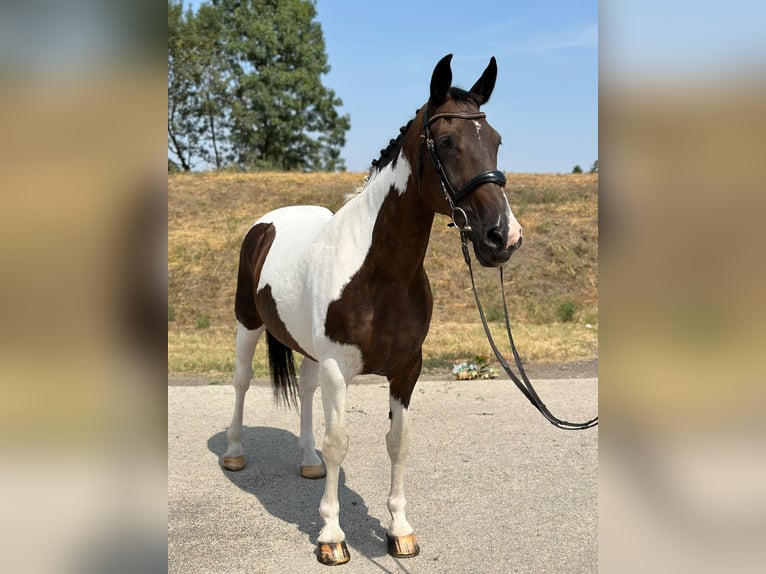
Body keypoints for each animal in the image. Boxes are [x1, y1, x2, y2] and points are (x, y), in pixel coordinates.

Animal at [219, 54, 524, 568]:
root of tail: (267, 224)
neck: (381, 275)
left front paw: (399, 530)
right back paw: (236, 453)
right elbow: (339, 444)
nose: (502, 236)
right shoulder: (338, 369)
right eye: (447, 142)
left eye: (497, 141)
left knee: (304, 390)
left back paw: (307, 462)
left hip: (307, 350)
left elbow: (397, 443)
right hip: (248, 323)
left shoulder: (406, 370)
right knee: (242, 382)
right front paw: (331, 536)